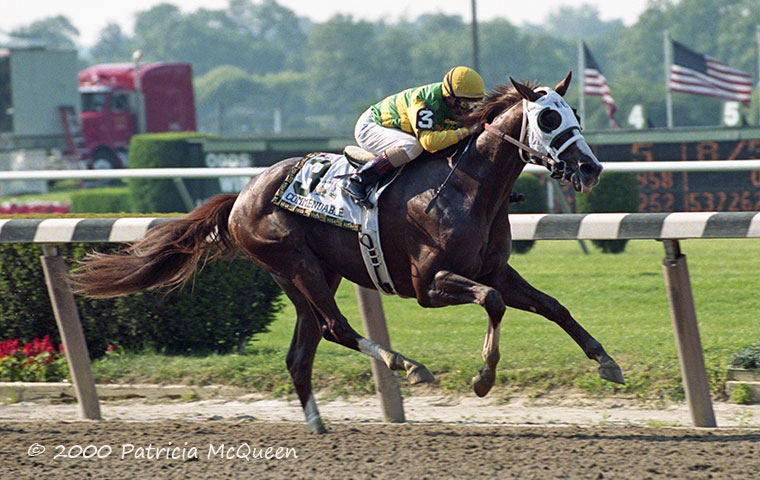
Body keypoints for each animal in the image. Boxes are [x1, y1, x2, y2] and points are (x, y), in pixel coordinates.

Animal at [71, 72, 624, 436]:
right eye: (548, 118)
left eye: (576, 114)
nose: (591, 168)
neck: (468, 187)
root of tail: (241, 195)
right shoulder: (428, 285)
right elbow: (492, 301)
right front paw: (483, 378)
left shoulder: (496, 269)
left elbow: (551, 305)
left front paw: (606, 362)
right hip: (298, 265)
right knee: (335, 327)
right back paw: (408, 365)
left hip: (307, 278)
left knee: (302, 350)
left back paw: (319, 425)